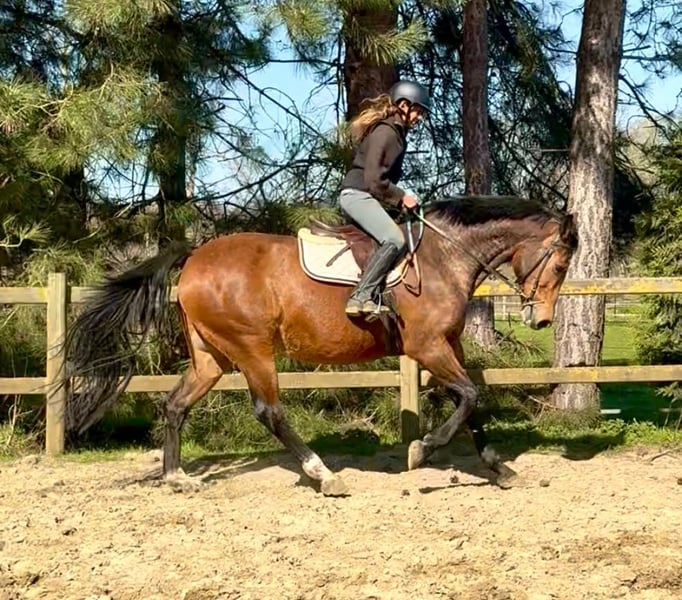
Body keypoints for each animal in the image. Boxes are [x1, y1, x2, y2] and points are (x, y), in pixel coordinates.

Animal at [64, 196, 577, 496]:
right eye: (560, 265)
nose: (541, 319)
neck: (443, 257)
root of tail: (194, 257)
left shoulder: (450, 344)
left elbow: (474, 403)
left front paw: (500, 470)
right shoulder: (428, 347)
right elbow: (469, 397)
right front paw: (422, 450)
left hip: (212, 358)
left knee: (175, 405)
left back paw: (176, 477)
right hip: (252, 350)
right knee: (269, 412)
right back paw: (324, 475)